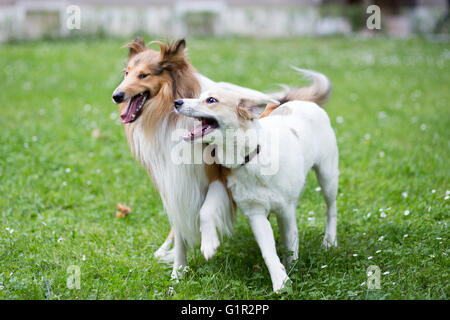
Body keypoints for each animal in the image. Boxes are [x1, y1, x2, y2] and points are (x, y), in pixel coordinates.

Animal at [175, 88, 338, 292]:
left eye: (211, 100)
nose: (176, 102)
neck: (250, 157)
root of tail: (304, 102)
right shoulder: (256, 214)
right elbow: (268, 251)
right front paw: (280, 280)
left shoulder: (286, 209)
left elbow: (291, 241)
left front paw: (290, 269)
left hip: (327, 176)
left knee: (331, 208)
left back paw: (329, 241)